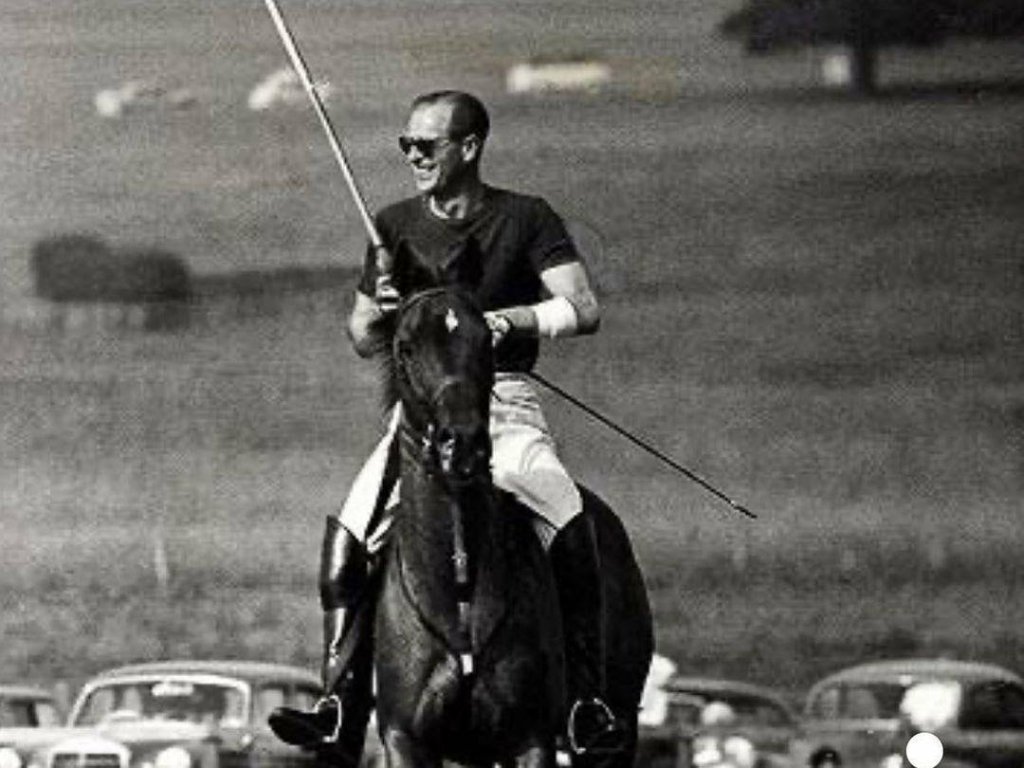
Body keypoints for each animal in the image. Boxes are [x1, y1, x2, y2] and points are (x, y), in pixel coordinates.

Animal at [373, 286, 654, 768]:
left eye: (488, 342)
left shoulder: (530, 738)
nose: (462, 445)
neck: (458, 583)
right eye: (405, 347)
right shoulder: (405, 738)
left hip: (618, 731)